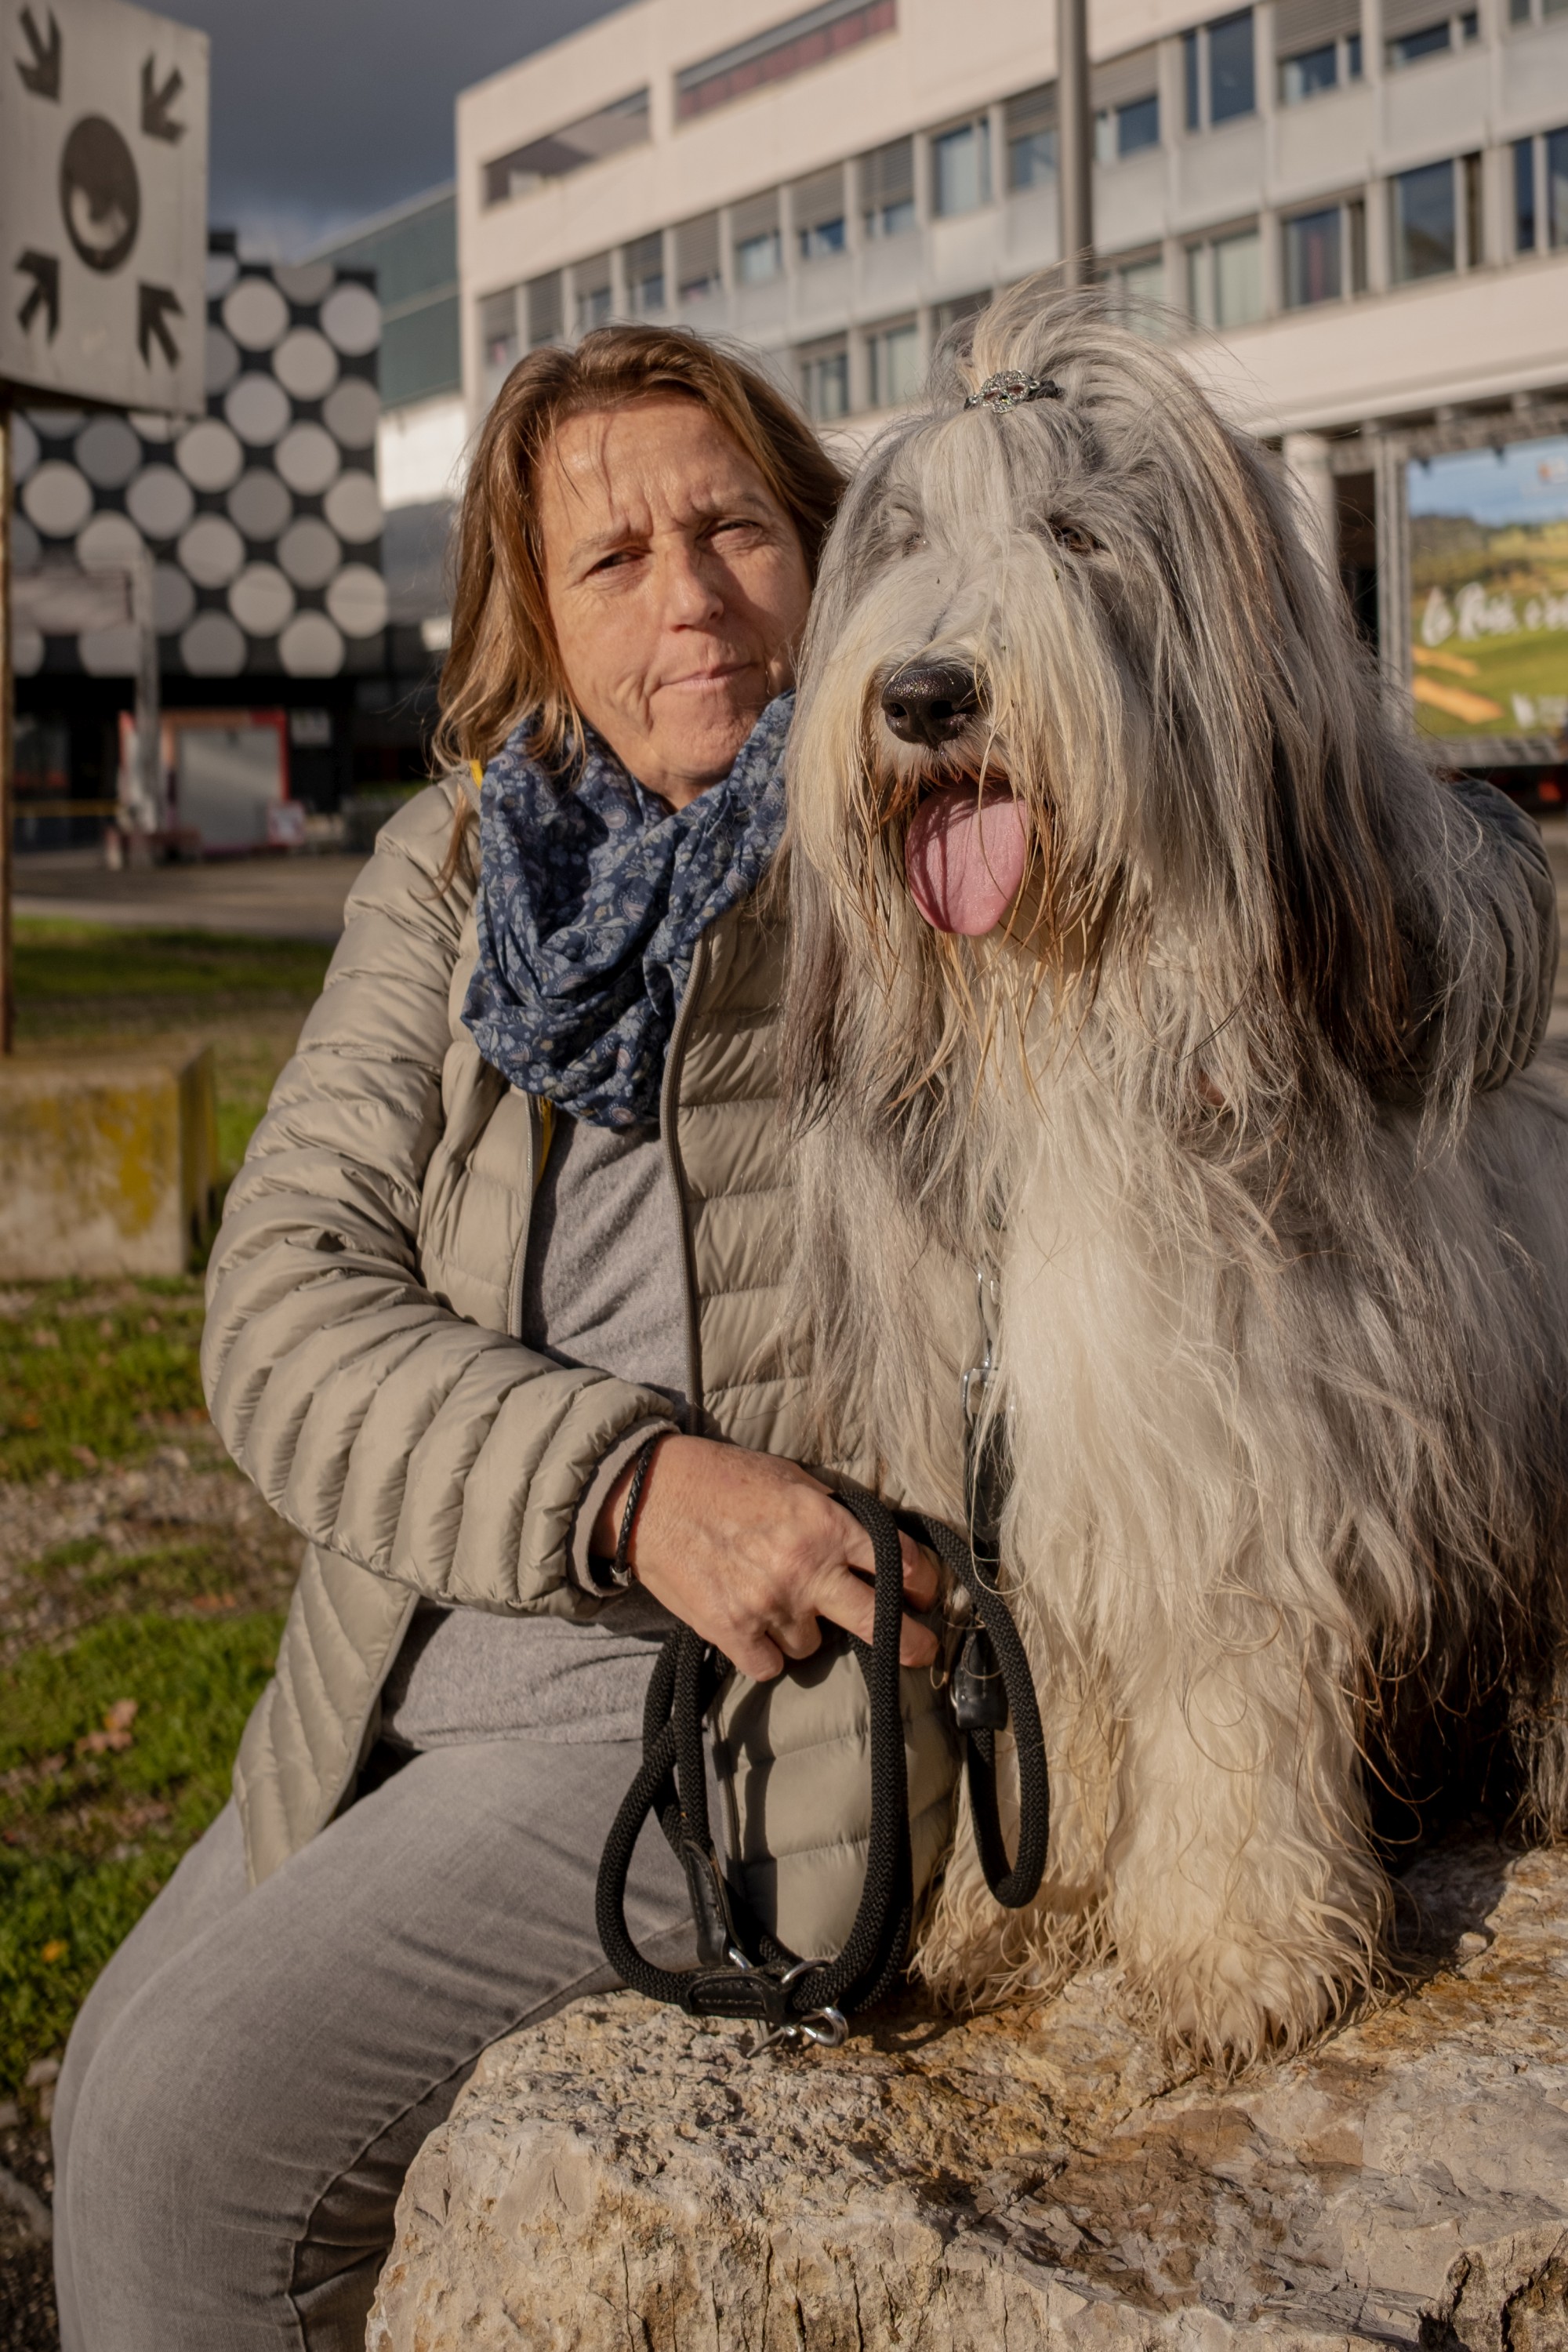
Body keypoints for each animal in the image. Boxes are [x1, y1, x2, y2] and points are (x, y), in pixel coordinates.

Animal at [783, 284, 1568, 2064]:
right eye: (907, 541)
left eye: (1079, 535)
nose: (924, 695)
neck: (1074, 1019)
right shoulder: (1008, 1458)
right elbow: (1055, 1694)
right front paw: (1028, 1909)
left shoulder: (1232, 1441)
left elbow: (1227, 1682)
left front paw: (1234, 1952)